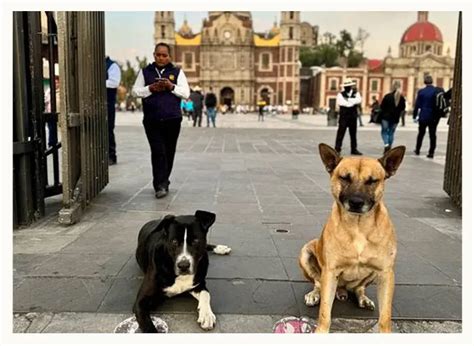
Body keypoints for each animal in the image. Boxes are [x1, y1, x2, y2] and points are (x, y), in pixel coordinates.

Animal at [300, 143, 404, 332]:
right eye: (345, 178)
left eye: (372, 181)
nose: (356, 202)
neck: (358, 227)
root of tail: (342, 289)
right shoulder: (330, 272)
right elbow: (324, 313)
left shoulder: (386, 273)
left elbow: (385, 317)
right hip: (306, 253)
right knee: (318, 283)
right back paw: (314, 294)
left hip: (371, 276)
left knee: (359, 288)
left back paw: (363, 298)